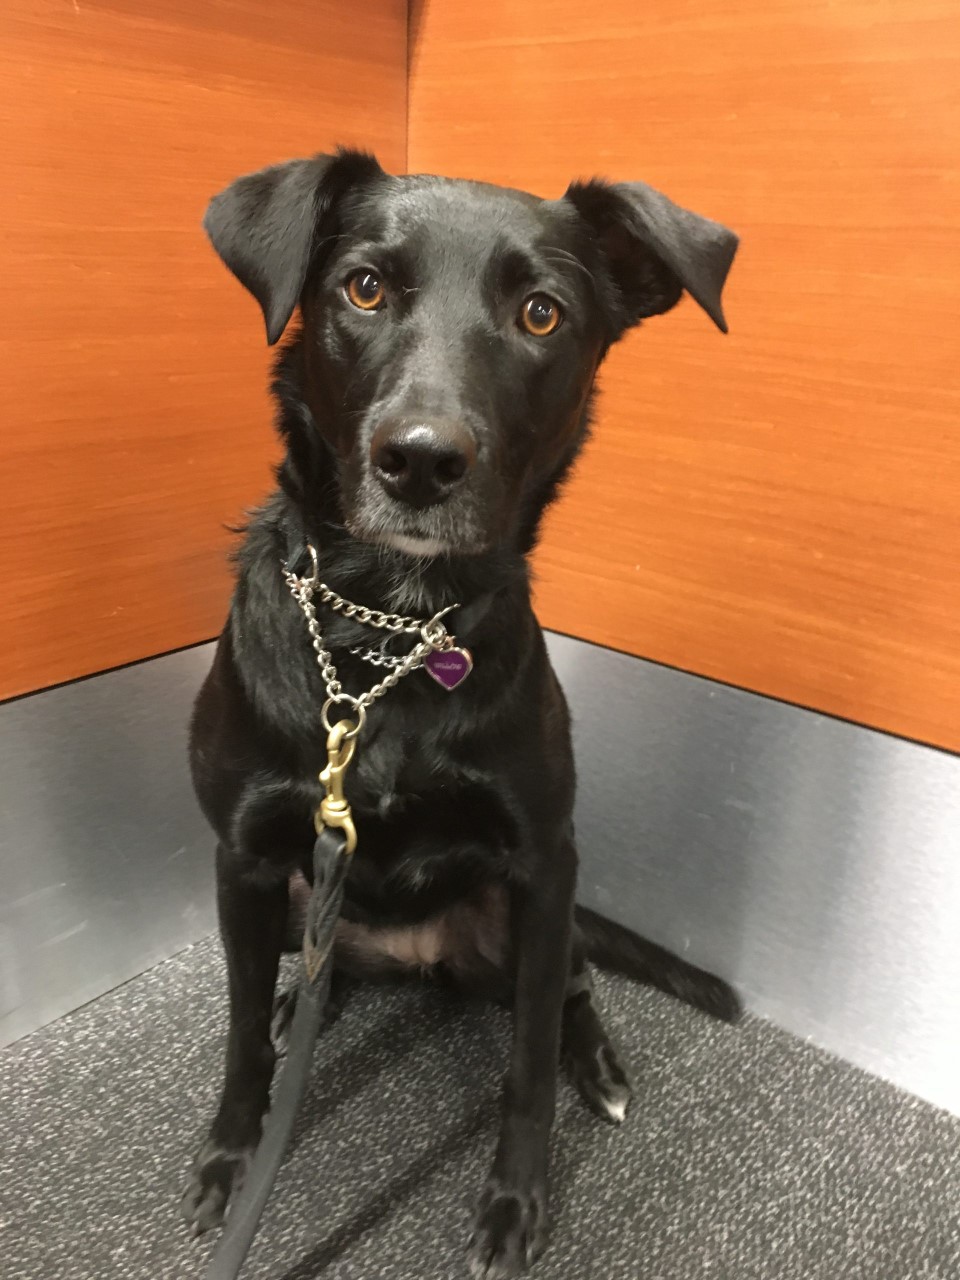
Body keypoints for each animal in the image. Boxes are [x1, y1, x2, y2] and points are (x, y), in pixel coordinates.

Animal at [180, 147, 739, 1278]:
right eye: (363, 288)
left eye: (541, 313)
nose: (422, 460)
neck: (389, 635)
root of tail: (415, 952)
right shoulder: (245, 858)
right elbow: (236, 1032)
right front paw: (233, 1156)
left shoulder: (542, 858)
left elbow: (523, 1065)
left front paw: (517, 1199)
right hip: (306, 896)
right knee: (312, 969)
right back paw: (302, 1003)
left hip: (524, 923)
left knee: (566, 988)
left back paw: (596, 1061)